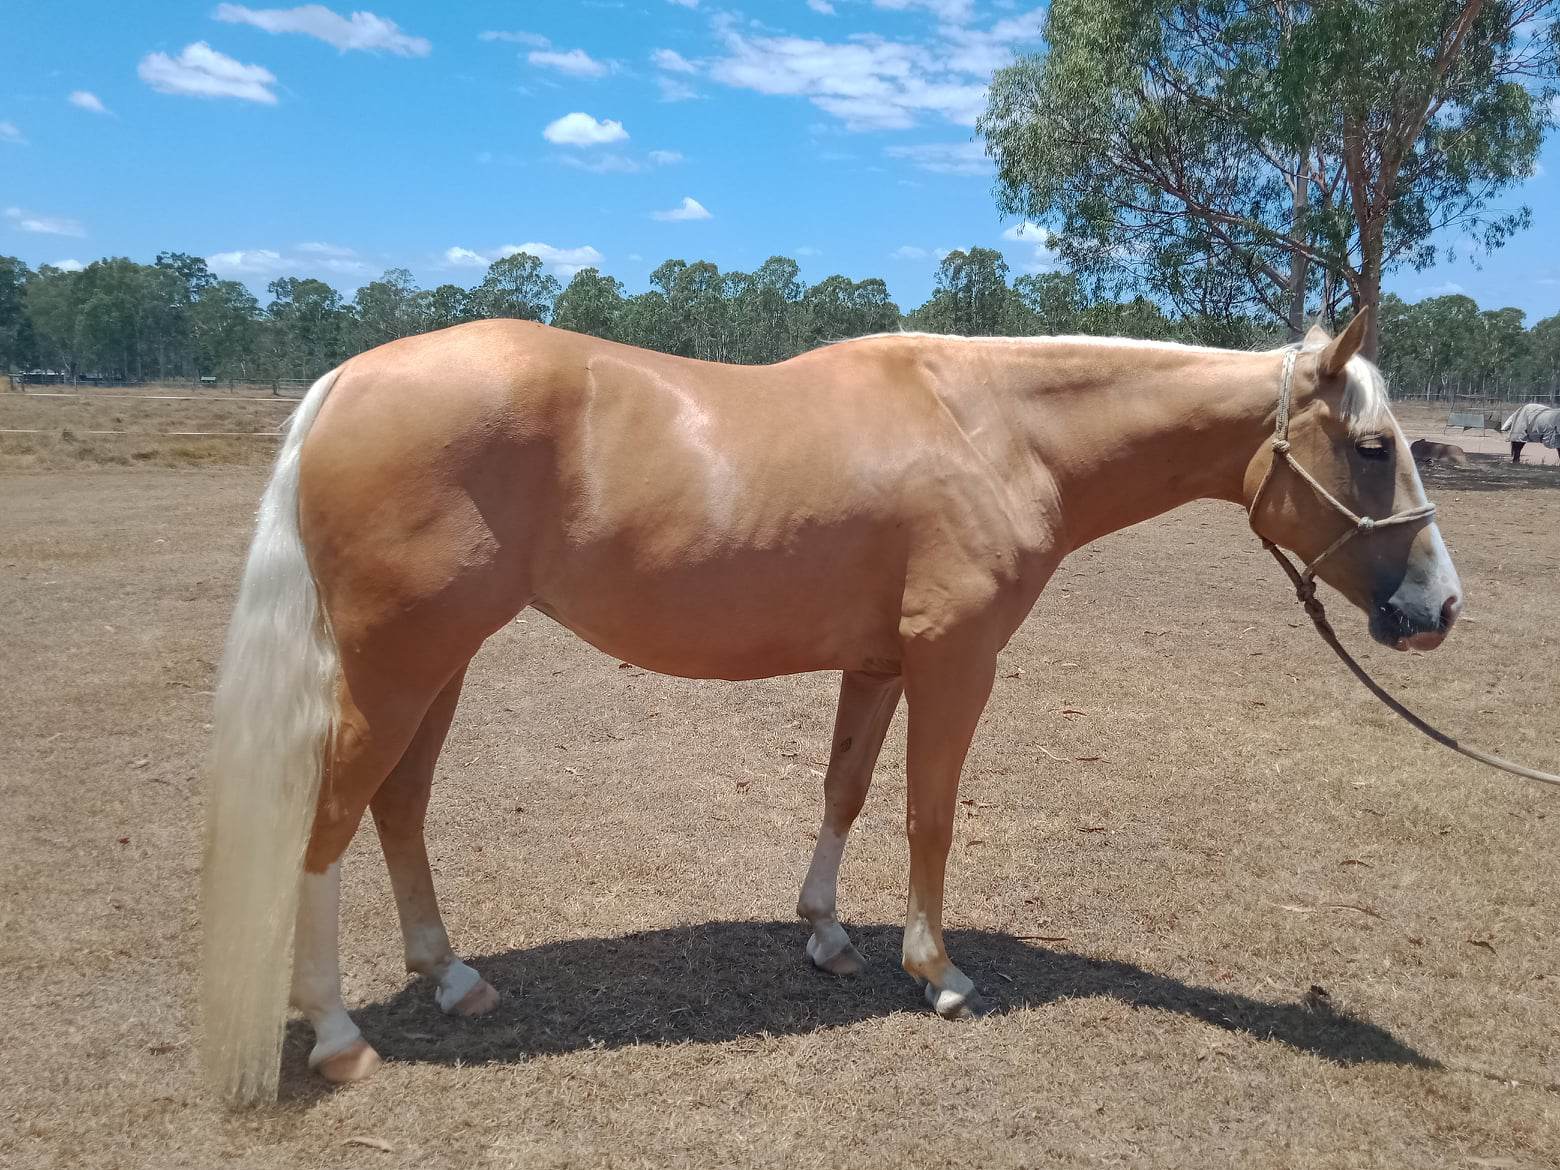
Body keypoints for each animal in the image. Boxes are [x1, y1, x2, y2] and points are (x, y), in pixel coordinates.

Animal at [201, 311, 1463, 1105]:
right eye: (1372, 447)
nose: (1439, 606)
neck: (995, 428)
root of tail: (349, 380)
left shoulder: (881, 664)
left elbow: (848, 788)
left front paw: (826, 935)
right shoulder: (957, 662)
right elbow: (929, 814)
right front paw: (936, 971)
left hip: (440, 662)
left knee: (400, 807)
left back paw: (453, 977)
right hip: (398, 665)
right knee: (329, 822)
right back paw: (340, 1038)